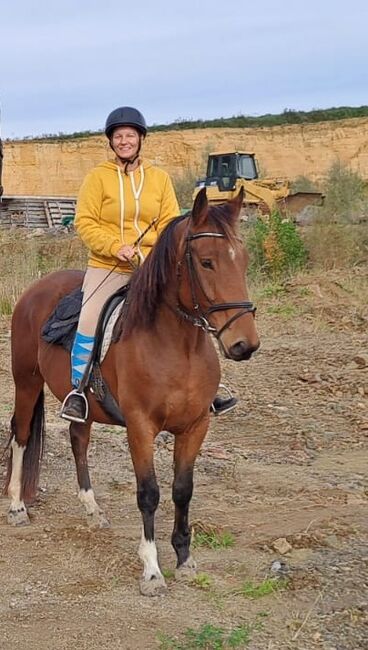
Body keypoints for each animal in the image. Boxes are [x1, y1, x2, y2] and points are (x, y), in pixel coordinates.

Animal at [5, 186, 258, 592]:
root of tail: (36, 290)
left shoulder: (195, 427)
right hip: (26, 381)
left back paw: (92, 509)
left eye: (244, 259)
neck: (176, 347)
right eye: (206, 262)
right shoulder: (140, 427)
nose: (244, 344)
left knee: (78, 442)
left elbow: (182, 490)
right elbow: (149, 493)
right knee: (22, 436)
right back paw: (16, 506)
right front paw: (152, 569)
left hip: (83, 404)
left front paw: (184, 558)